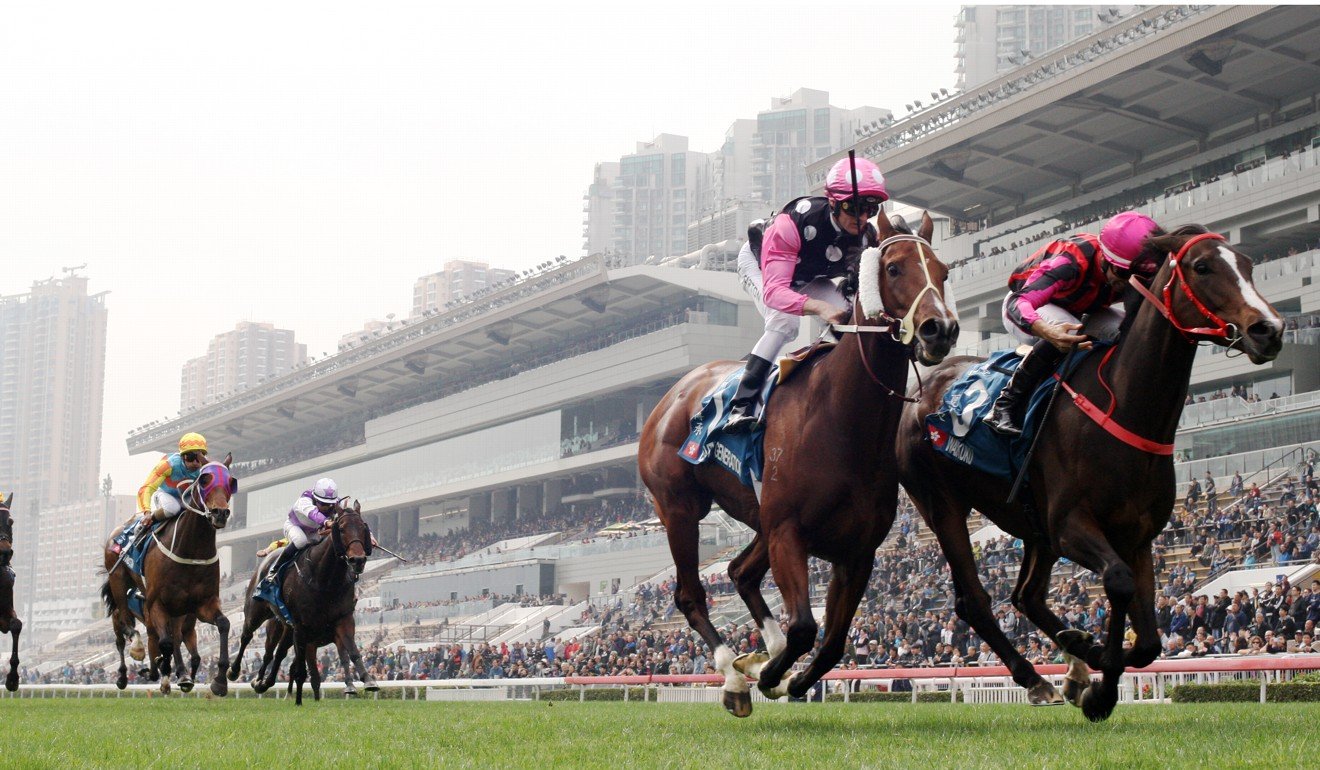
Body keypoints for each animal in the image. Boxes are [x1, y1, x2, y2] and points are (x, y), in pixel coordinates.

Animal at [100, 454, 237, 697]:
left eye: (231, 481)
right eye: (204, 480)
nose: (220, 513)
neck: (190, 550)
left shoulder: (202, 604)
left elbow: (223, 624)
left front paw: (219, 680)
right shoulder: (157, 604)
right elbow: (165, 643)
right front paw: (164, 674)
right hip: (118, 580)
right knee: (124, 625)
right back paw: (130, 662)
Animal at [229, 499, 374, 702]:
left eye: (363, 527)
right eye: (342, 528)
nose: (358, 560)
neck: (324, 580)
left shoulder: (343, 619)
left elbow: (351, 651)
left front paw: (367, 681)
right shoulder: (301, 627)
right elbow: (303, 670)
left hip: (285, 627)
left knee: (277, 653)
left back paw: (262, 682)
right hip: (257, 612)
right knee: (248, 638)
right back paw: (236, 673)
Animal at [638, 212, 960, 718]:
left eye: (943, 272)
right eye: (893, 269)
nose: (939, 329)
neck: (842, 419)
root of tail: (672, 394)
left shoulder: (857, 551)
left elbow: (831, 643)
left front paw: (787, 676)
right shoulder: (789, 531)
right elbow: (806, 627)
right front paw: (772, 675)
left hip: (758, 517)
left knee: (739, 572)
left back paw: (760, 656)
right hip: (680, 510)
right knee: (691, 595)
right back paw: (735, 675)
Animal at [892, 225, 1283, 718]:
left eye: (1248, 264)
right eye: (1202, 267)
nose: (1269, 329)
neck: (1127, 407)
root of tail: (919, 392)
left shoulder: (1136, 536)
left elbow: (1149, 642)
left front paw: (1093, 667)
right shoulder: (1071, 526)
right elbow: (1117, 582)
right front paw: (1100, 683)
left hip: (1033, 527)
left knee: (1026, 596)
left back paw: (1073, 660)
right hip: (942, 507)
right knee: (975, 601)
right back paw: (1037, 679)